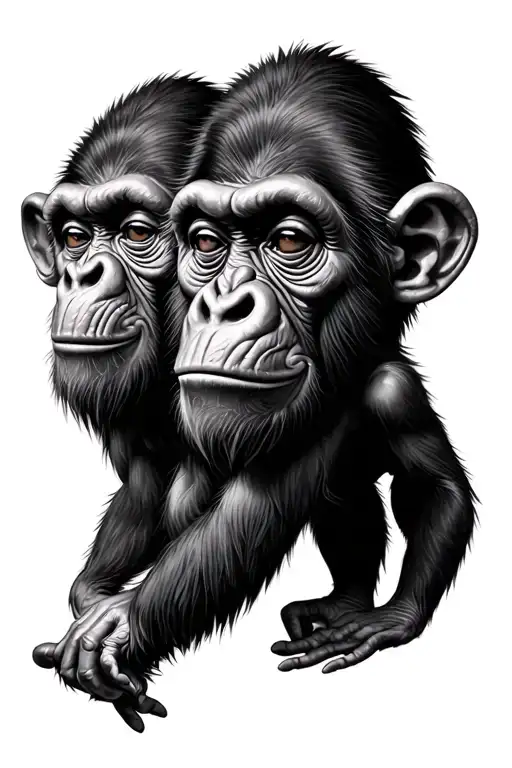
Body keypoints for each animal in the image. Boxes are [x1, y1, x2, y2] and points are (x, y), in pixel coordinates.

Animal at [21, 74, 221, 731]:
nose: (82, 274)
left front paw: (112, 624)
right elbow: (143, 478)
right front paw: (93, 602)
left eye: (136, 232)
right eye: (74, 237)